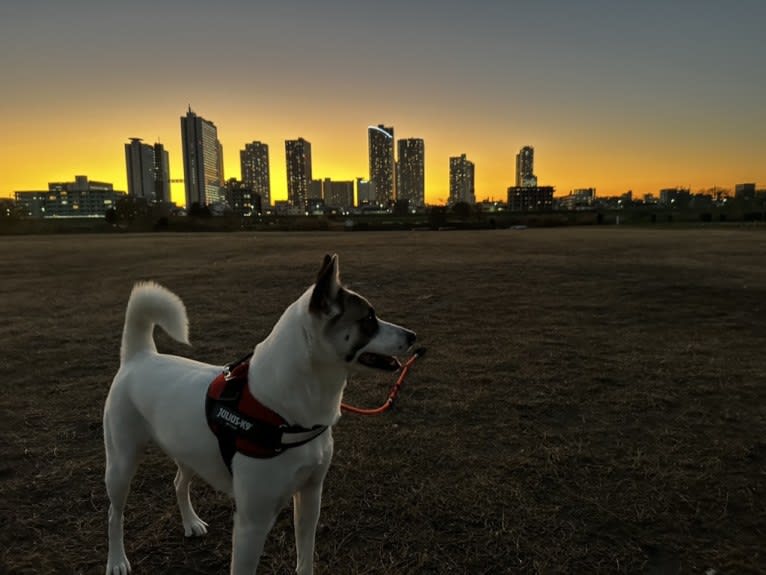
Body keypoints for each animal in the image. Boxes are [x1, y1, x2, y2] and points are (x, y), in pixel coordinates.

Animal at [102, 254, 416, 572]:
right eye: (369, 320)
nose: (413, 336)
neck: (285, 409)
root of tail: (140, 356)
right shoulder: (252, 523)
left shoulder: (310, 495)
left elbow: (306, 556)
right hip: (121, 464)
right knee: (115, 514)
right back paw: (117, 560)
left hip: (186, 451)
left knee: (179, 483)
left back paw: (190, 522)